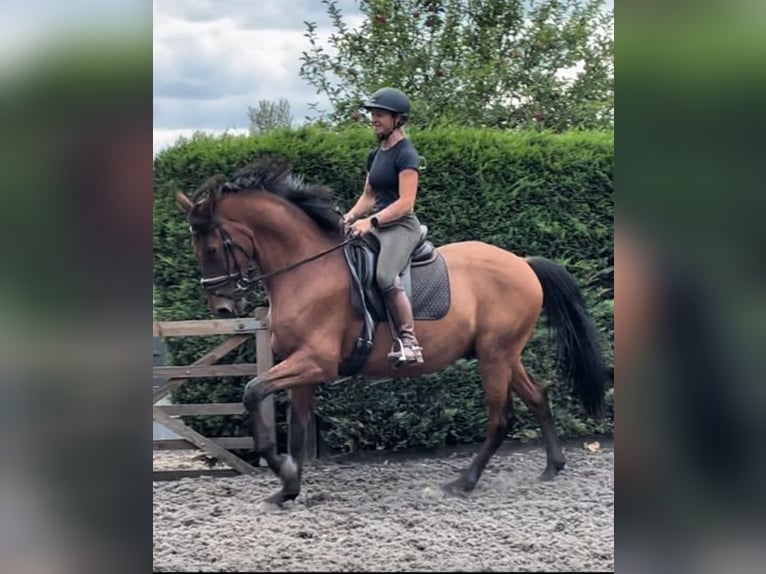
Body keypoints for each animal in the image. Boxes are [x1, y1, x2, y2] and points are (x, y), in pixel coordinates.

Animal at [176, 155, 612, 506]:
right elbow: (298, 430)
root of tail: (522, 263)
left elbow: (252, 393)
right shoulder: (303, 369)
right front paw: (288, 488)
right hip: (504, 354)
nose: (223, 308)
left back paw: (463, 482)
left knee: (501, 418)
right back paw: (552, 466)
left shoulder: (316, 362)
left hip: (494, 356)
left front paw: (280, 470)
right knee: (537, 396)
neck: (306, 270)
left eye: (211, 248)